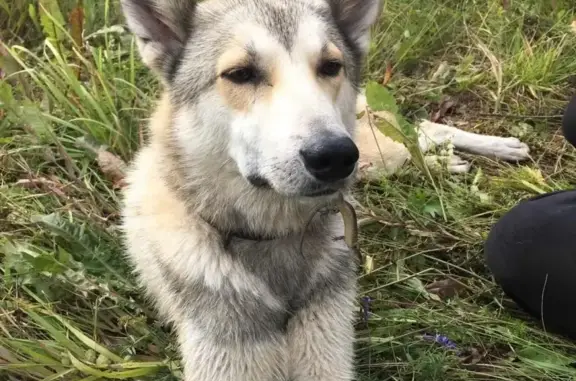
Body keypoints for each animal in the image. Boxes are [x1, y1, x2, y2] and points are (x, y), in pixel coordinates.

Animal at [121, 0, 532, 380]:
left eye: (330, 67)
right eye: (240, 74)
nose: (335, 156)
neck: (273, 238)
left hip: (374, 153)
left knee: (424, 129)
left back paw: (498, 147)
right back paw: (450, 162)